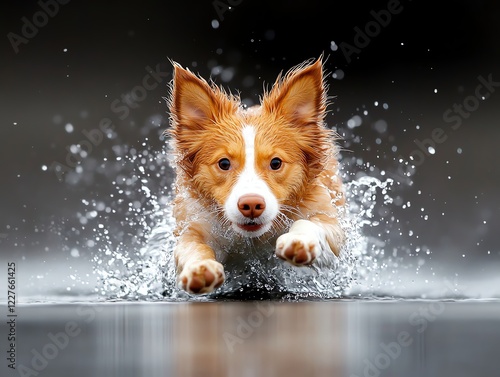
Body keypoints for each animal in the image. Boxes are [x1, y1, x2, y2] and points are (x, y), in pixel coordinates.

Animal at [168, 58, 344, 294]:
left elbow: (310, 224)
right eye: (224, 163)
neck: (252, 240)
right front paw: (200, 269)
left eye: (276, 163)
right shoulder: (194, 226)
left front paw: (299, 242)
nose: (251, 205)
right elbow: (193, 247)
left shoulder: (331, 227)